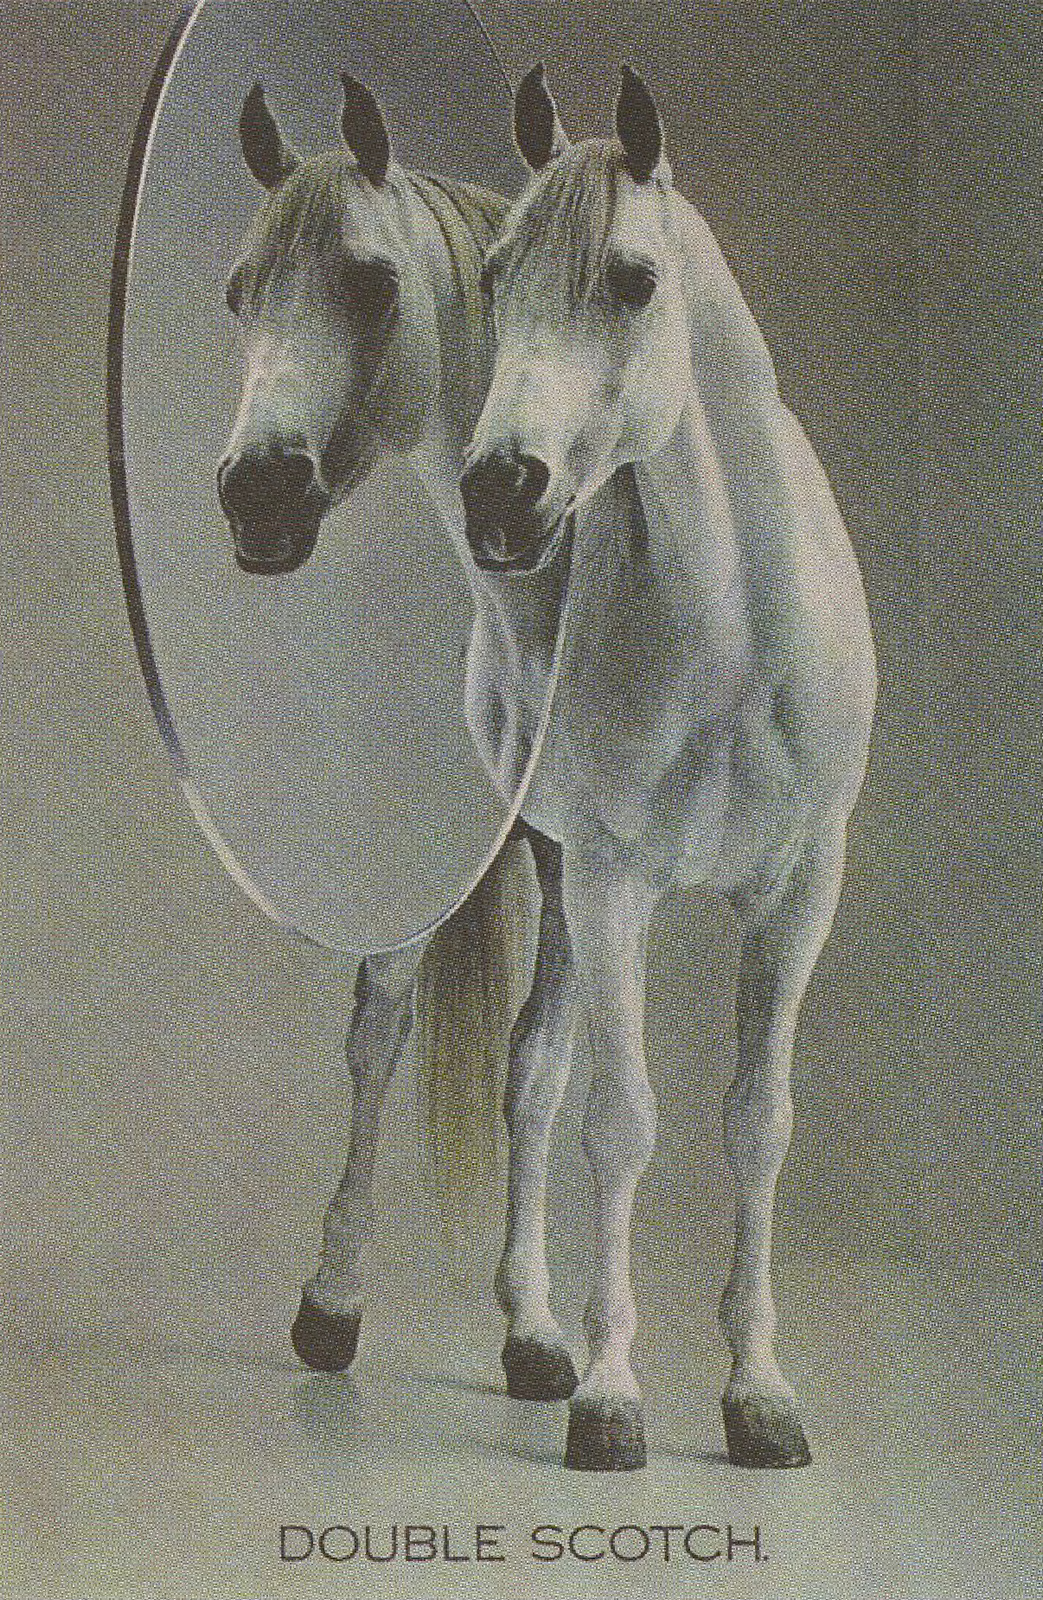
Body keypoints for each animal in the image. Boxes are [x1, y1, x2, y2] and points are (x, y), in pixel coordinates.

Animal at [217, 79, 583, 1407]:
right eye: (239, 292)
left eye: (373, 283)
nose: (257, 495)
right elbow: (375, 1033)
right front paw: (331, 1300)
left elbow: (536, 1066)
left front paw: (535, 1328)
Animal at [458, 64, 877, 1472]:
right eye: (494, 274)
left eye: (632, 278)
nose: (500, 493)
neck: (735, 630)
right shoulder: (616, 883)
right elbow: (623, 1122)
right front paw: (610, 1396)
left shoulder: (798, 893)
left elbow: (756, 1123)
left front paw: (757, 1392)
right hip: (523, 874)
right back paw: (354, 1316)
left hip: (557, 878)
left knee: (528, 1072)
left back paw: (531, 1335)